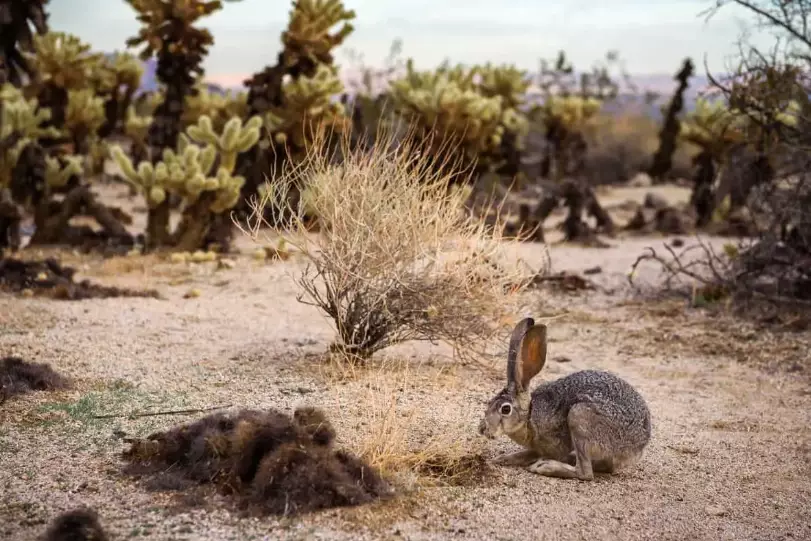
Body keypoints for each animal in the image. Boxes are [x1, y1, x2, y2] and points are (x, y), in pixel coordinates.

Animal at [478, 317, 651, 480]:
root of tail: (638, 446)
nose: (482, 429)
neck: (529, 417)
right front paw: (501, 459)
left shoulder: (553, 445)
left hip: (579, 416)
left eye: (505, 409)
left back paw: (547, 467)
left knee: (585, 473)